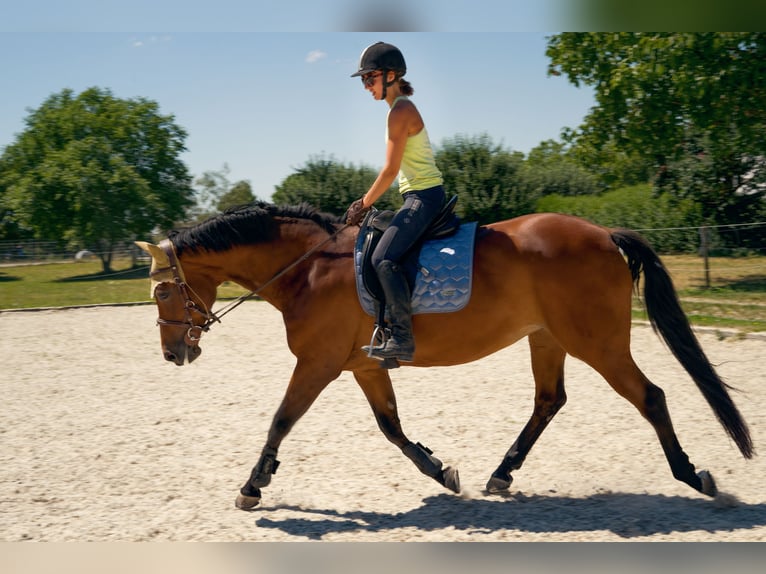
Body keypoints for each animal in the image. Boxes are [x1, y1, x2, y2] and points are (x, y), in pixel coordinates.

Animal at [135, 202, 752, 512]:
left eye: (161, 292)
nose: (171, 354)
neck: (309, 267)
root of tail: (603, 233)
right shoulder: (364, 365)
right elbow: (391, 428)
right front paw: (442, 471)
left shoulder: (318, 364)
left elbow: (281, 420)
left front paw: (253, 485)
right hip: (548, 338)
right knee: (549, 401)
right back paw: (501, 475)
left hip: (596, 343)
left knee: (651, 397)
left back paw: (694, 476)